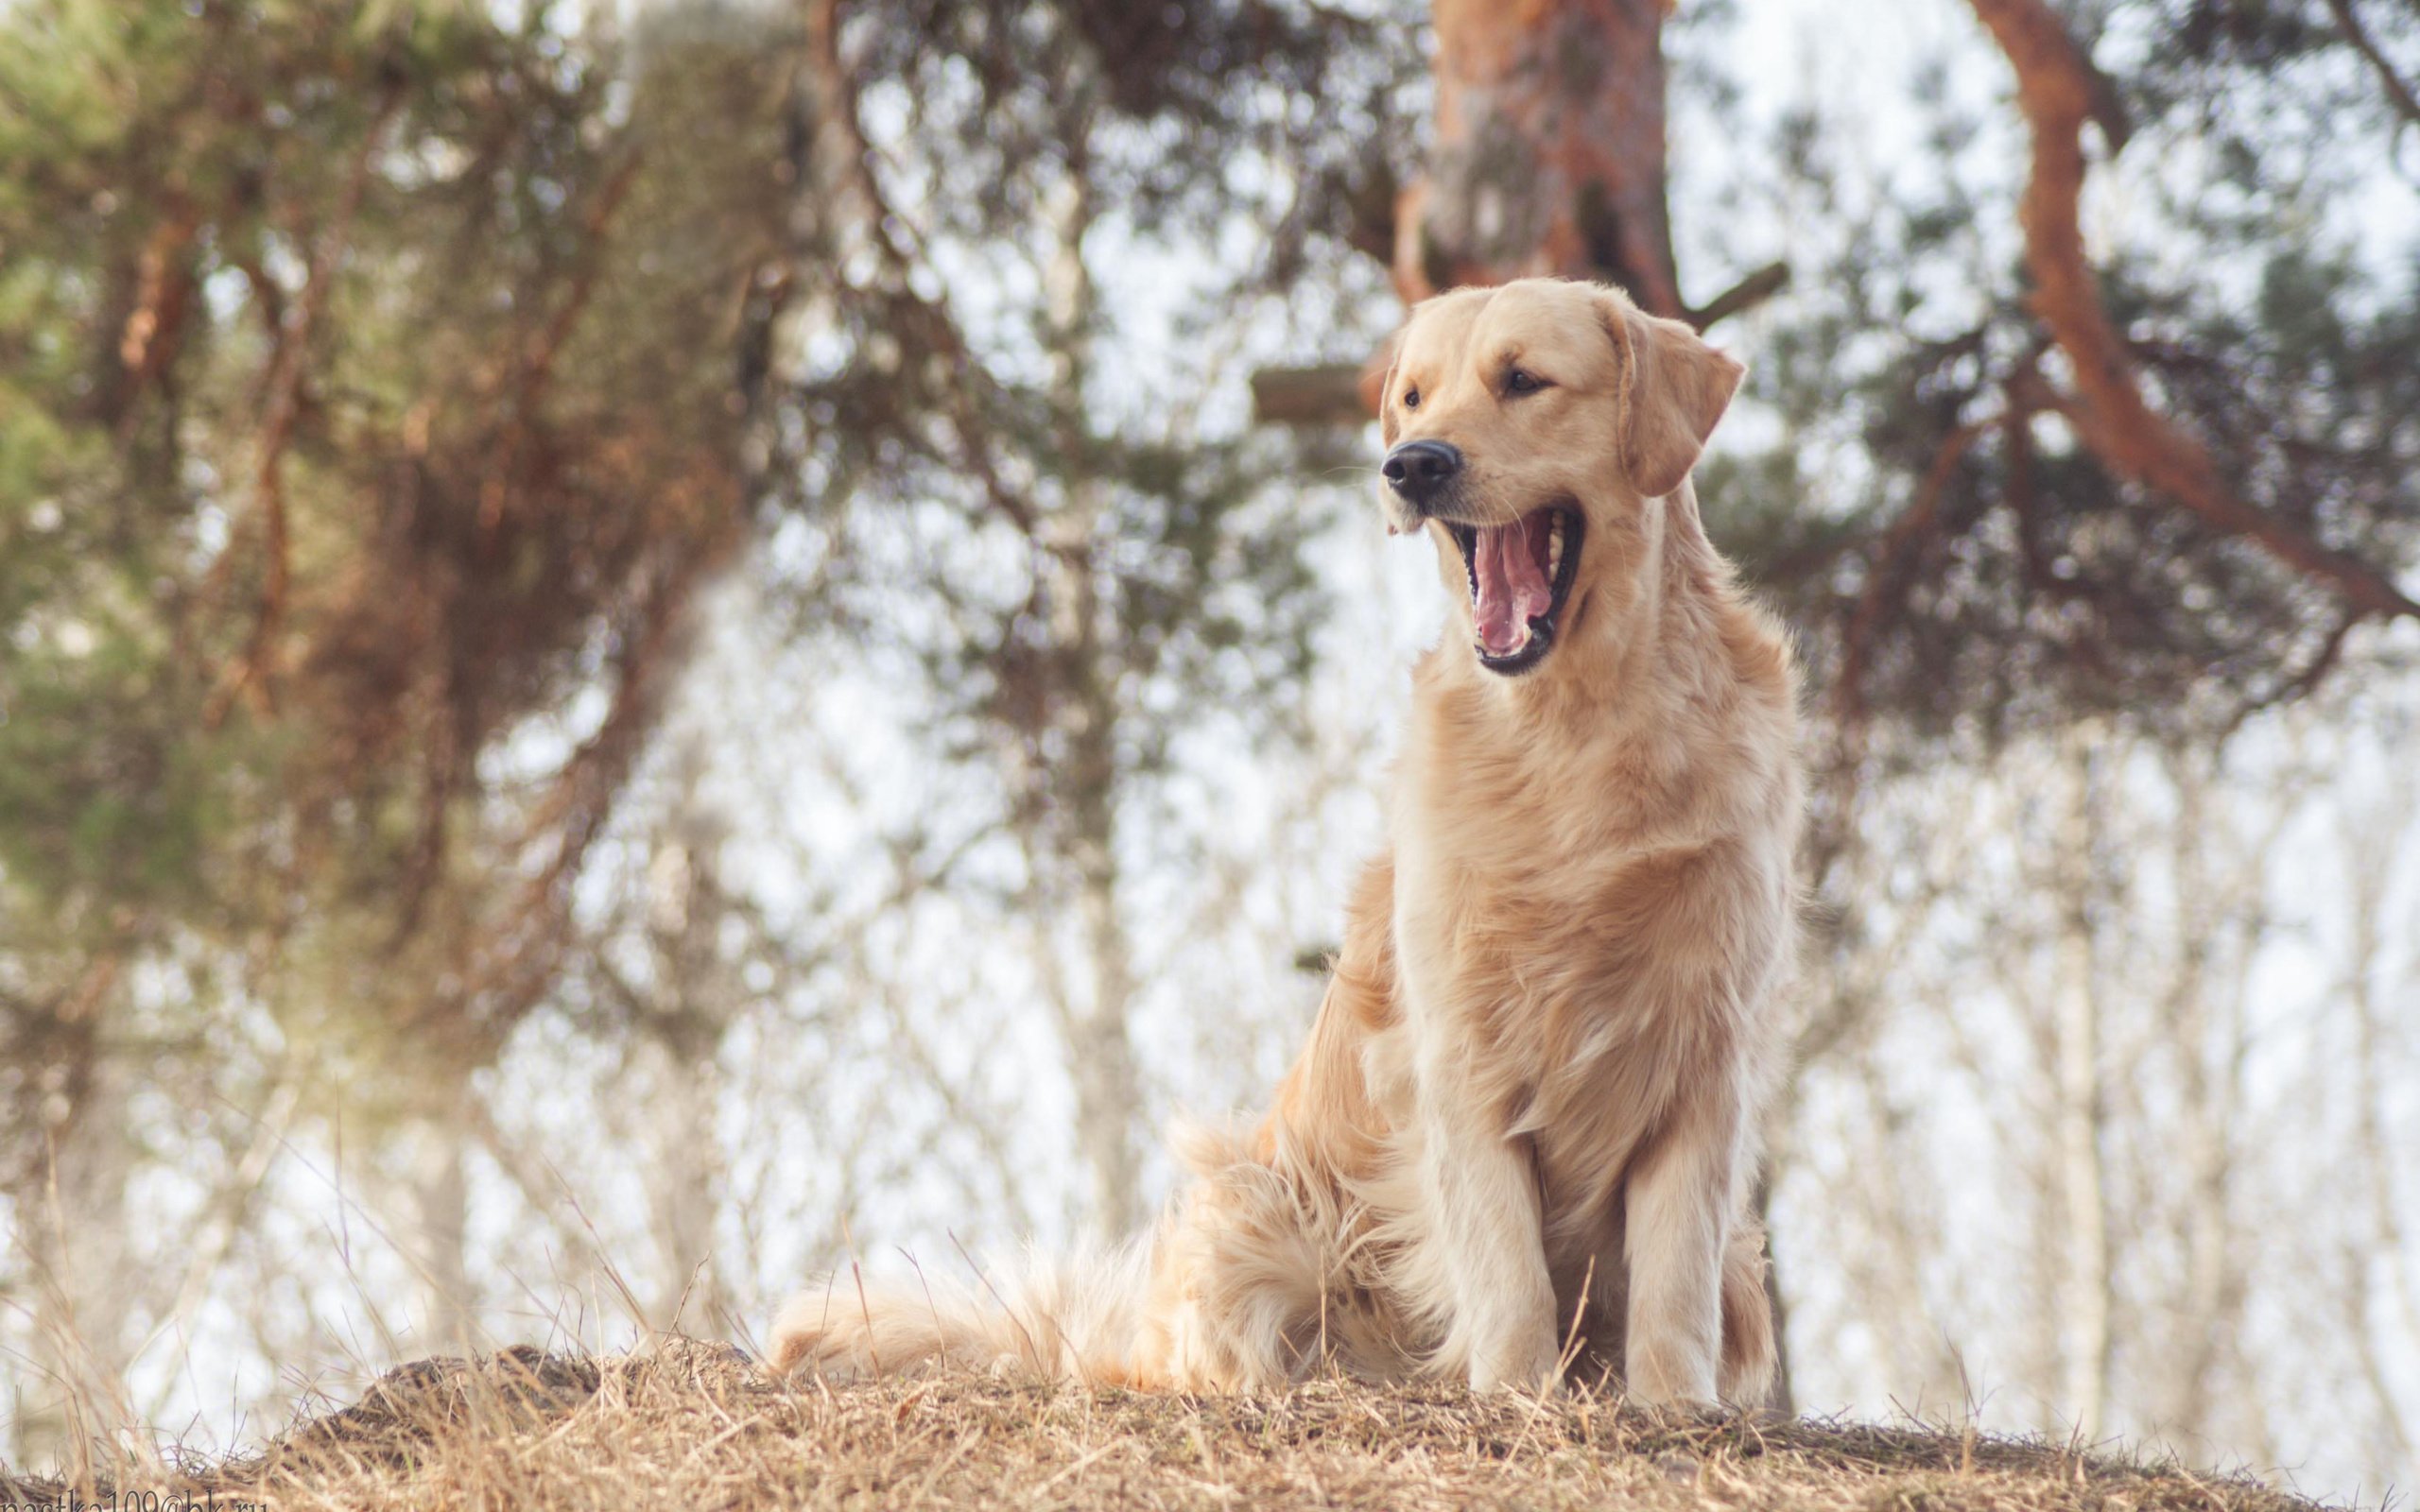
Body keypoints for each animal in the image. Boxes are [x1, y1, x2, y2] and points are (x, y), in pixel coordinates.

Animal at [764, 277, 1809, 1413]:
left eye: (1524, 379)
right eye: (1413, 396)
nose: (1412, 465)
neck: (1577, 727)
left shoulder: (1703, 1051)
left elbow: (1673, 1271)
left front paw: (1672, 1409)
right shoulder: (1459, 1048)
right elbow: (1505, 1265)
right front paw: (1517, 1397)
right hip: (1255, 1210)